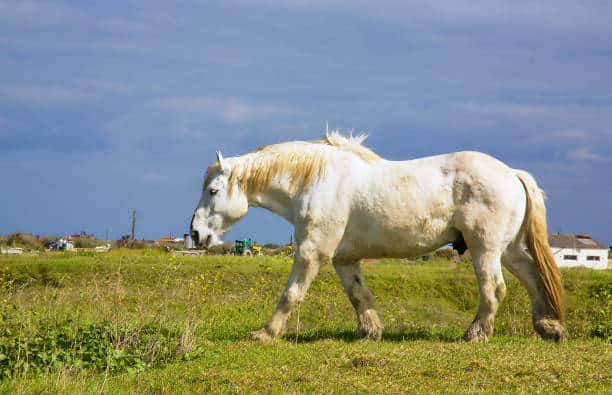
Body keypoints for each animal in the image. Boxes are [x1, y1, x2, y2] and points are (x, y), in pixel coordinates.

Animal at [190, 133, 564, 344]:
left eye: (213, 191)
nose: (196, 233)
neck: (317, 182)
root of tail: (511, 173)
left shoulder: (312, 253)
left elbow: (291, 294)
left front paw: (265, 334)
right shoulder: (344, 259)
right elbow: (359, 295)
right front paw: (371, 331)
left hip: (484, 249)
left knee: (494, 290)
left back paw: (475, 334)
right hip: (508, 250)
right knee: (533, 279)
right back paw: (549, 328)